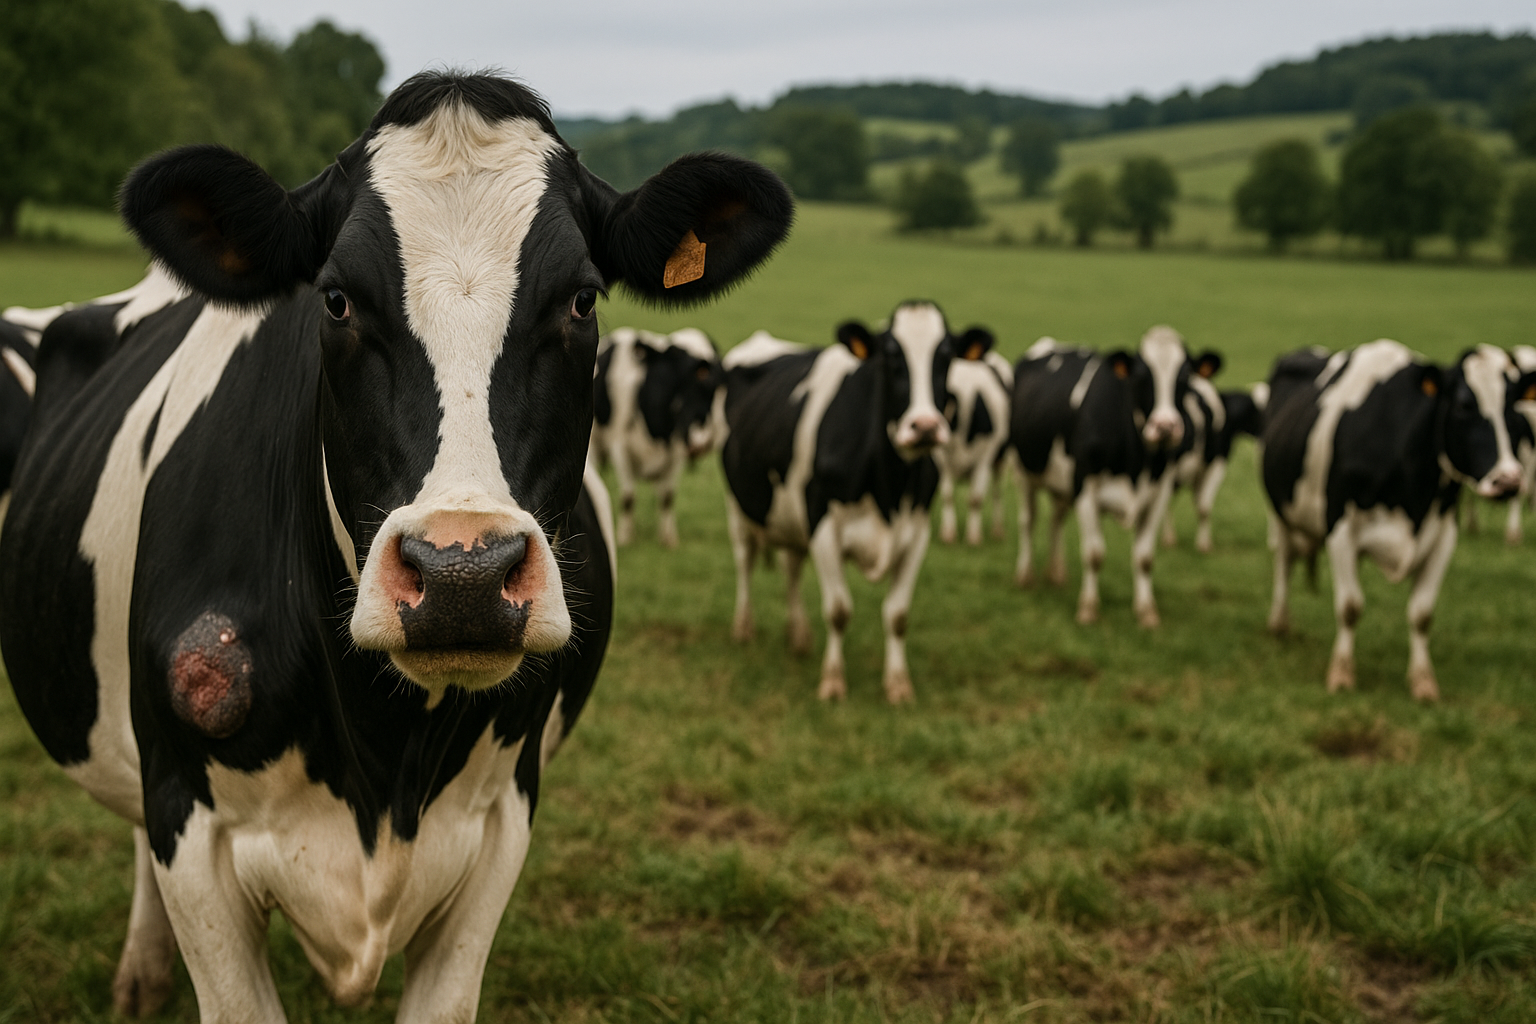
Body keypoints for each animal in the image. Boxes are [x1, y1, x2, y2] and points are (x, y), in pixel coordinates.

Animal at [591, 325, 722, 547]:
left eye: (712, 389)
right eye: (680, 373)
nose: (701, 443)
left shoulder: (676, 453)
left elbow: (667, 497)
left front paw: (668, 538)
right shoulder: (620, 447)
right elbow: (628, 496)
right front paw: (625, 536)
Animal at [720, 302, 974, 704]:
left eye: (946, 357)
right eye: (890, 357)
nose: (925, 427)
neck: (889, 489)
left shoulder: (917, 533)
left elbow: (898, 615)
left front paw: (898, 685)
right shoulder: (824, 526)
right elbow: (839, 610)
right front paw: (833, 683)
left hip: (793, 517)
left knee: (792, 568)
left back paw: (799, 636)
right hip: (739, 505)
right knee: (745, 560)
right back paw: (743, 628)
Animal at [935, 340, 1012, 545]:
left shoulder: (983, 460)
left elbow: (976, 499)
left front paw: (974, 537)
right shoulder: (941, 460)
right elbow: (947, 496)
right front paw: (948, 534)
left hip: (999, 459)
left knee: (996, 492)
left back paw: (998, 531)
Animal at [1011, 325, 1212, 628]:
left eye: (1186, 376)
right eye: (1141, 375)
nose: (1165, 426)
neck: (1137, 463)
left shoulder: (1160, 491)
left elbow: (1144, 557)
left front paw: (1146, 612)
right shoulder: (1085, 487)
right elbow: (1094, 554)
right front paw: (1088, 609)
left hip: (1062, 481)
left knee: (1056, 519)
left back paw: (1057, 574)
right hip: (1025, 471)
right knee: (1028, 520)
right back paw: (1025, 576)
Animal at [1261, 340, 1532, 701]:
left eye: (1514, 409)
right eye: (1464, 405)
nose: (1509, 481)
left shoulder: (1443, 535)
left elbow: (1422, 614)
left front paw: (1423, 682)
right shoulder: (1340, 529)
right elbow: (1350, 606)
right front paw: (1342, 675)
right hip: (1281, 512)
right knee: (1284, 561)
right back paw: (1279, 623)